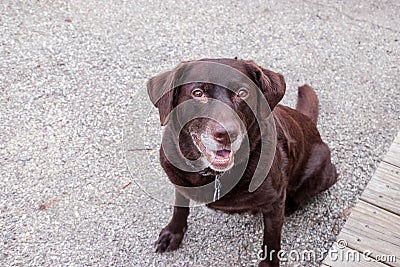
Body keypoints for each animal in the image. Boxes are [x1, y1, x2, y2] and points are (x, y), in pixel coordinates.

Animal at [146, 57, 338, 266]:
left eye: (243, 93)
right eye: (198, 93)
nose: (227, 133)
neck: (213, 174)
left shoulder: (274, 202)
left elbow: (271, 240)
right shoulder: (179, 182)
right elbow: (179, 208)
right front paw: (173, 233)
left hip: (320, 173)